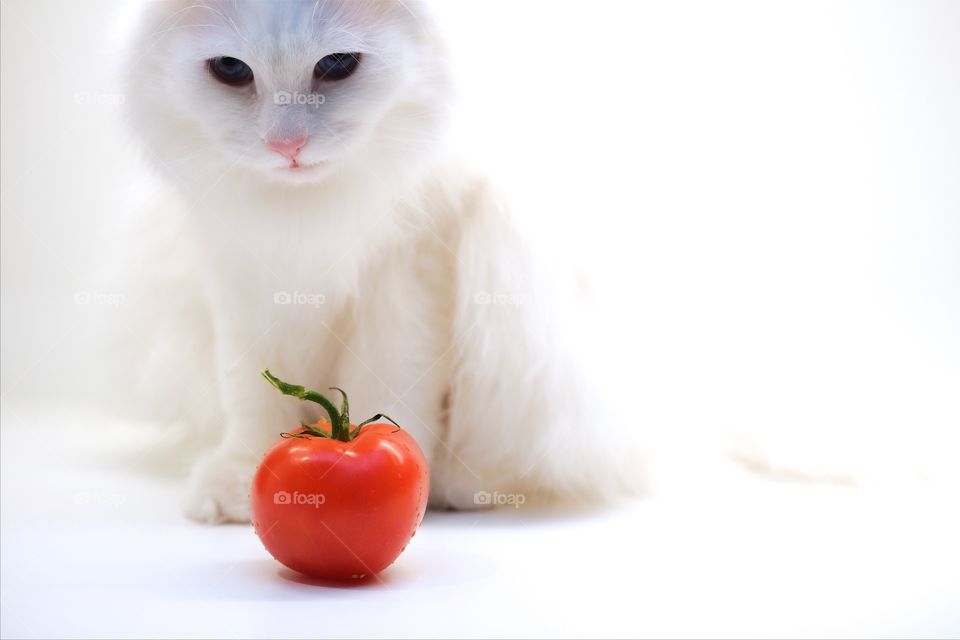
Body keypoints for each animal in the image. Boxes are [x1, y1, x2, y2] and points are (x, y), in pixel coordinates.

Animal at [120, 0, 640, 524]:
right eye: (231, 69)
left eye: (337, 64)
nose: (286, 145)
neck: (309, 210)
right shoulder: (241, 276)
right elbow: (249, 392)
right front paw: (244, 478)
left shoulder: (408, 277)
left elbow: (390, 385)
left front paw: (390, 467)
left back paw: (461, 486)